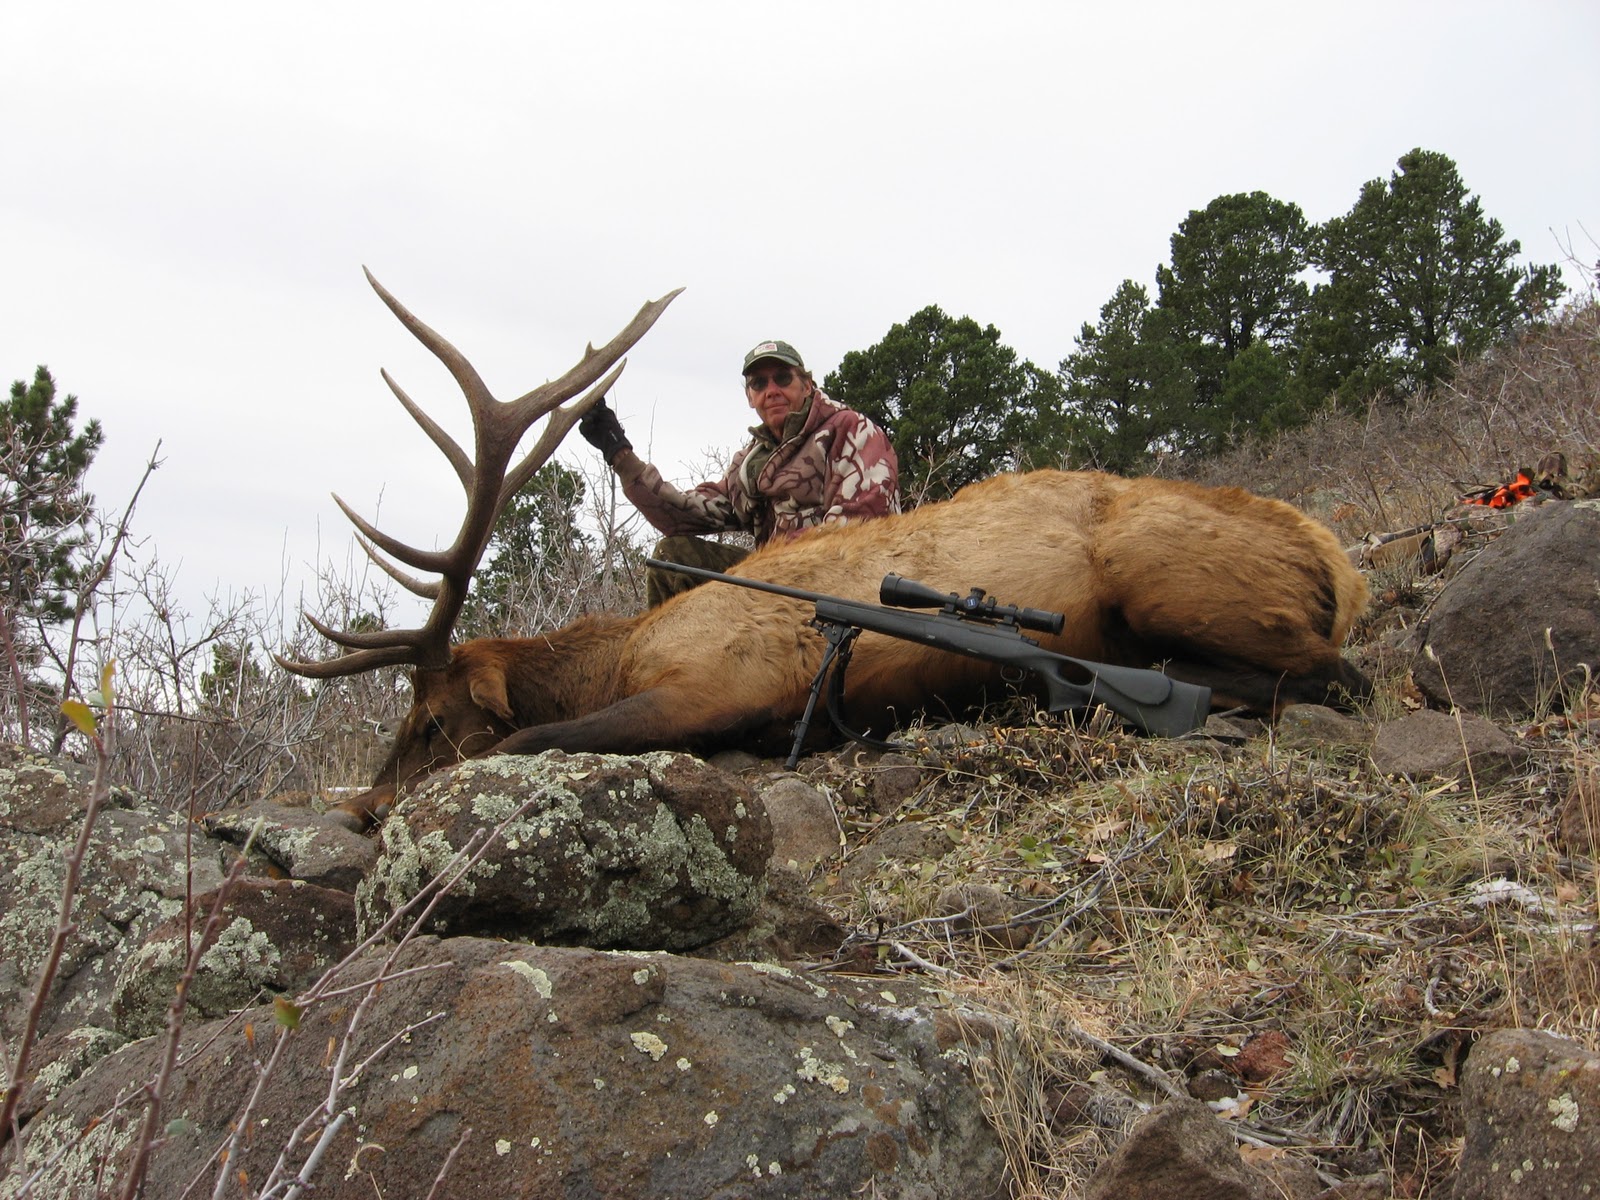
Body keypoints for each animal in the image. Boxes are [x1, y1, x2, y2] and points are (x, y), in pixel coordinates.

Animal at [280, 271, 1372, 830]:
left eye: (432, 720)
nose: (366, 805)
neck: (617, 654)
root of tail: (1337, 560)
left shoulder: (706, 685)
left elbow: (525, 743)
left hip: (1173, 580)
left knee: (1335, 678)